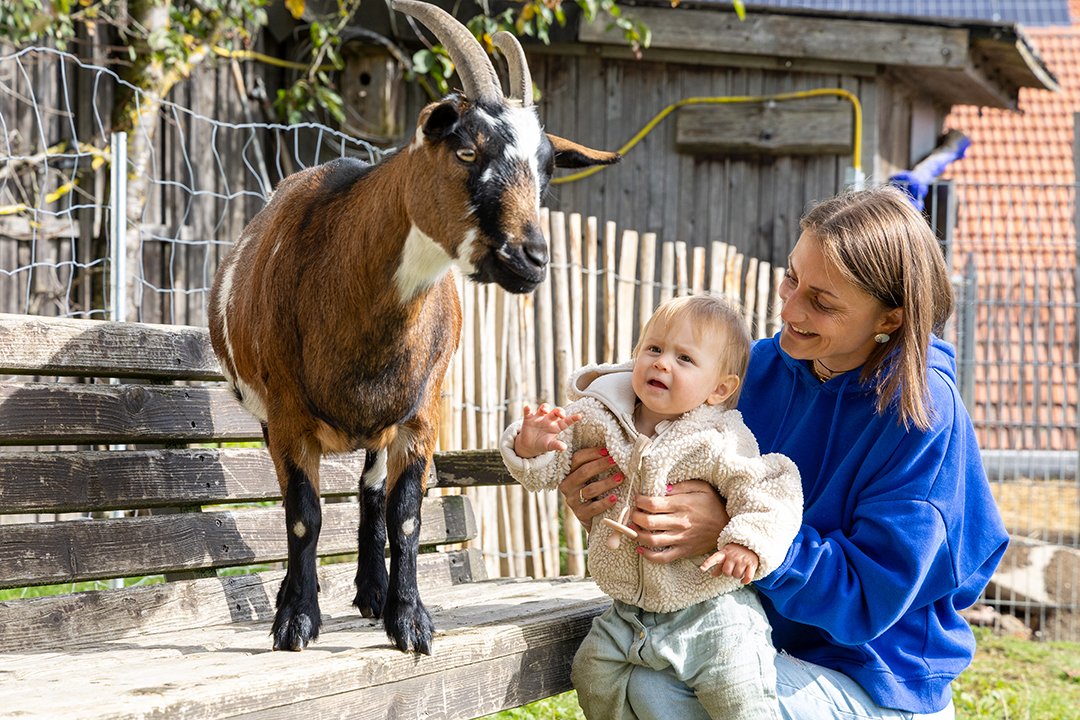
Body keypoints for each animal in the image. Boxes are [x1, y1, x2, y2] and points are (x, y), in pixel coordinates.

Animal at [208, 0, 619, 655]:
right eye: (467, 152)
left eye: (548, 170)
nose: (531, 259)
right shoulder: (289, 413)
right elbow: (302, 514)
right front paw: (296, 620)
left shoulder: (423, 413)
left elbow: (404, 514)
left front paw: (409, 621)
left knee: (371, 492)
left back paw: (372, 593)